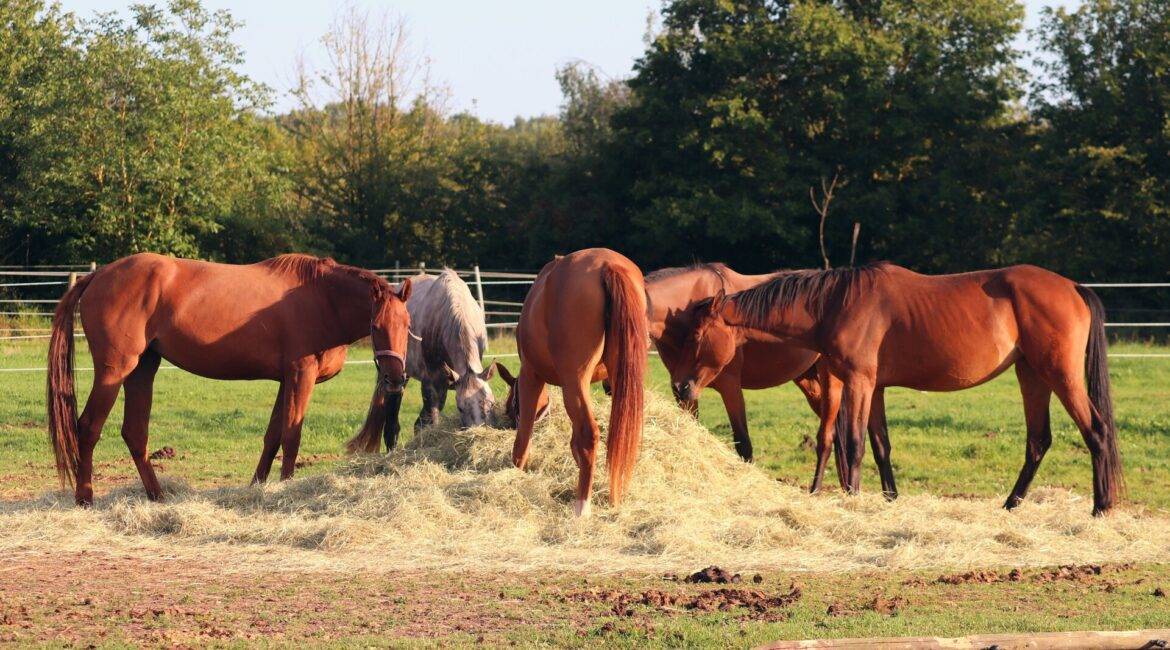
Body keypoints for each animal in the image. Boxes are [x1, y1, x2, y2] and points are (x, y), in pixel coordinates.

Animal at [47, 251, 414, 505]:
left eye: (407, 325)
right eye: (376, 326)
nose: (396, 379)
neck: (321, 298)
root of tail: (98, 275)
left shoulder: (286, 380)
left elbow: (273, 437)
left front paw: (258, 488)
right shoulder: (301, 375)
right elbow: (291, 437)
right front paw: (286, 488)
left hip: (142, 369)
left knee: (135, 433)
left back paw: (157, 496)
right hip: (115, 370)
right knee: (88, 427)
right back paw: (85, 498)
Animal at [343, 266, 496, 453]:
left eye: (491, 403)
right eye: (460, 408)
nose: (478, 435)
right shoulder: (433, 384)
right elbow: (430, 421)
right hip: (396, 379)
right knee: (393, 425)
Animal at [500, 249, 655, 519]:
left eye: (511, 409)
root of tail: (608, 265)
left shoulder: (531, 376)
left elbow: (523, 441)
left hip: (572, 379)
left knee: (588, 433)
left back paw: (582, 506)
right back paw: (614, 498)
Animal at [678, 261, 1123, 514]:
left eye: (696, 337)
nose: (682, 388)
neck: (836, 303)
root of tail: (1073, 288)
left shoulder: (859, 381)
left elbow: (855, 442)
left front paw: (853, 500)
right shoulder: (872, 388)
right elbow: (880, 445)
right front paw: (889, 498)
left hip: (1060, 375)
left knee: (1096, 432)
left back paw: (1100, 507)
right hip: (1031, 375)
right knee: (1038, 441)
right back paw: (1011, 505)